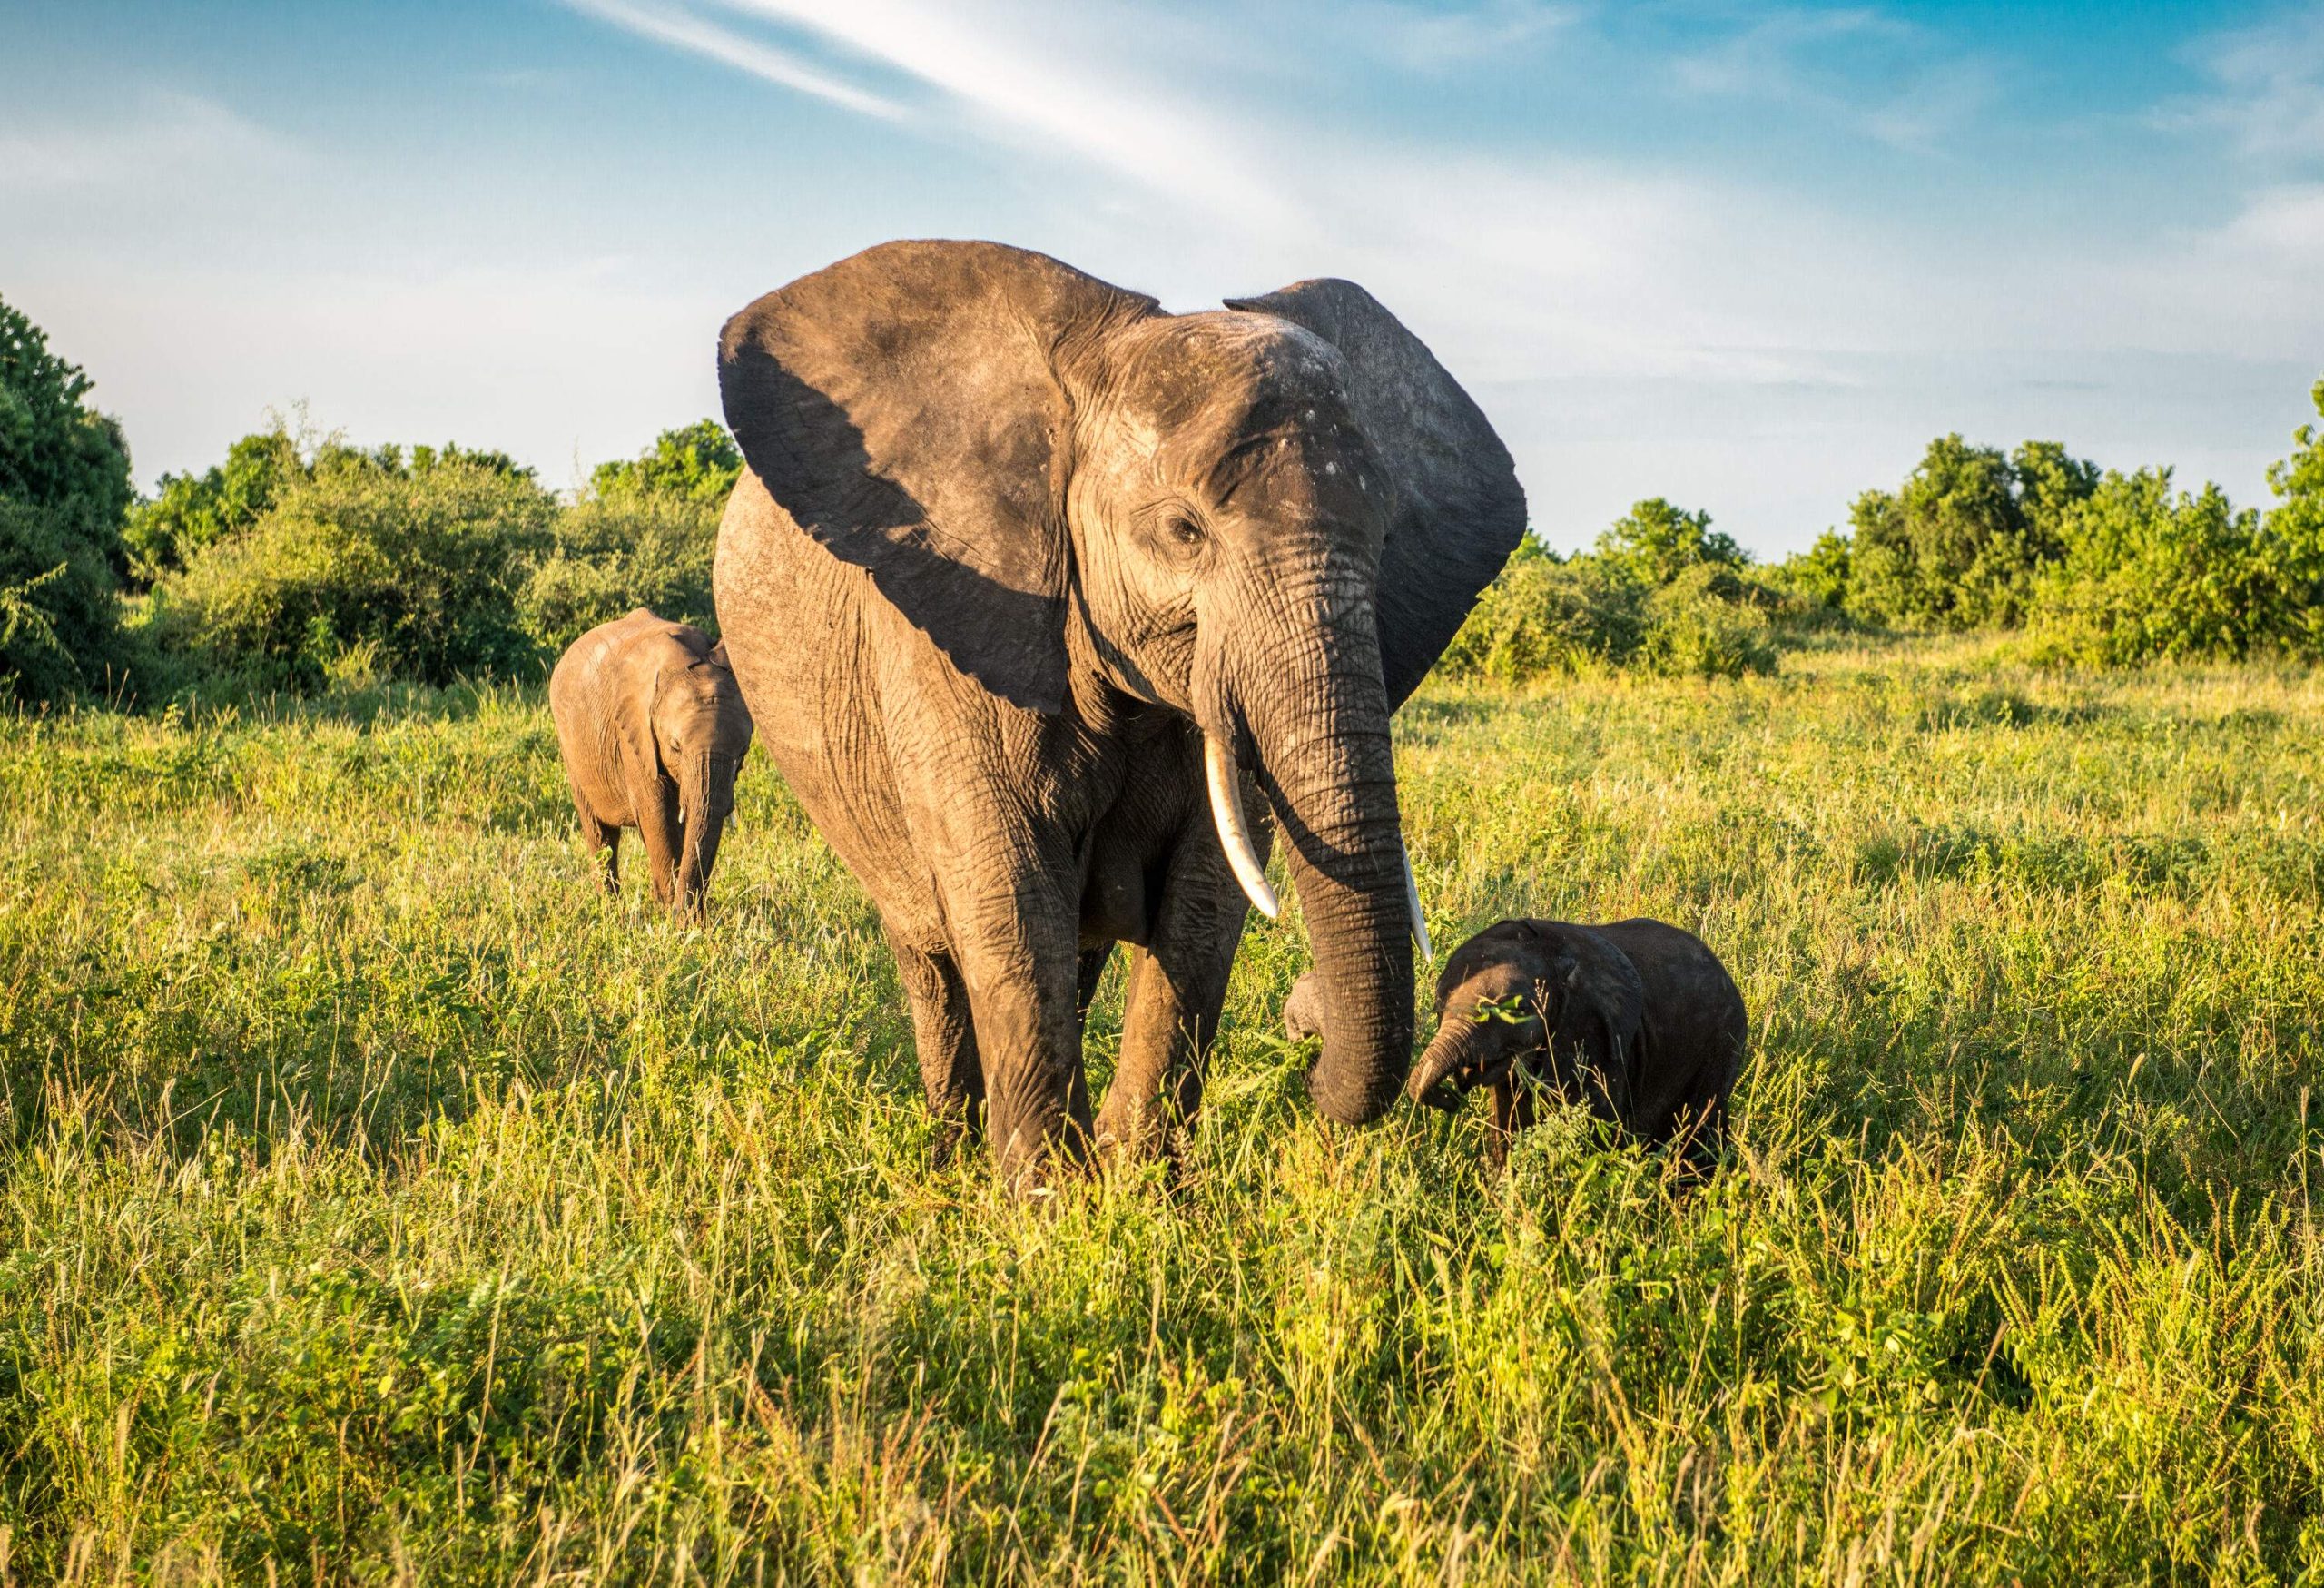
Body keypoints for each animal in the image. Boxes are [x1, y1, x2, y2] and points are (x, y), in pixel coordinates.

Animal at [546, 614, 748, 925]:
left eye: (742, 753)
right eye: (675, 746)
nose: (689, 917)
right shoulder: (634, 735)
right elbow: (658, 814)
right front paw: (670, 917)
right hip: (571, 747)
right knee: (600, 834)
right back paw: (610, 911)